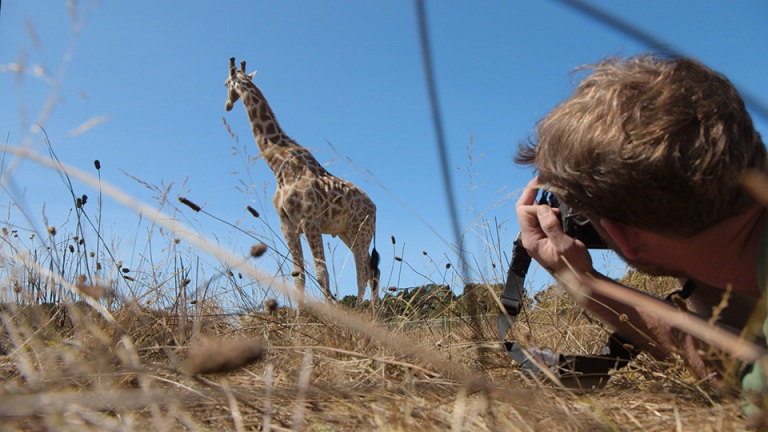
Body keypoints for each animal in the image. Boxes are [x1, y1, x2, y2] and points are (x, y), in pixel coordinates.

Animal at [225, 57, 380, 312]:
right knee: (372, 270)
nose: (228, 104)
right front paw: (299, 317)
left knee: (364, 271)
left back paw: (362, 312)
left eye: (225, 83)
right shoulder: (287, 225)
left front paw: (328, 315)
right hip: (346, 232)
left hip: (361, 231)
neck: (279, 166)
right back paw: (377, 314)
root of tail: (375, 207)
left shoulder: (310, 222)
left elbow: (321, 273)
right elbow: (298, 274)